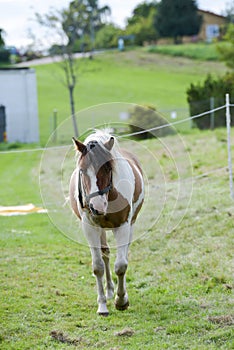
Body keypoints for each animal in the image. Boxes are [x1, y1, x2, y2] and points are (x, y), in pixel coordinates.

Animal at [69, 130, 144, 316]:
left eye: (108, 168)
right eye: (82, 170)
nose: (97, 206)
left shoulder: (124, 226)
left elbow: (121, 265)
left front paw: (122, 300)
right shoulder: (90, 228)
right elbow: (98, 267)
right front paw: (102, 305)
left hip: (131, 224)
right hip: (100, 229)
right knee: (105, 254)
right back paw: (109, 290)